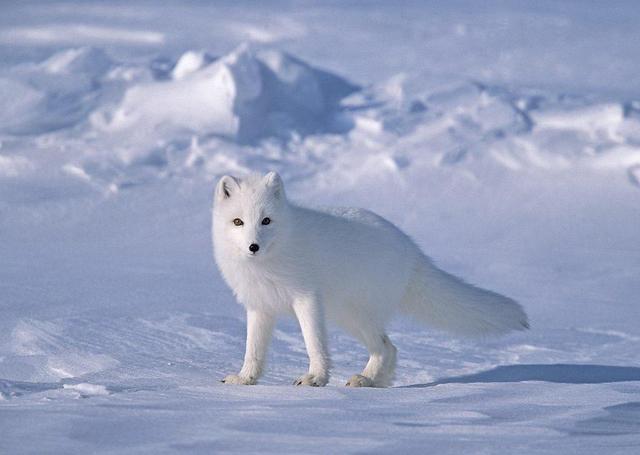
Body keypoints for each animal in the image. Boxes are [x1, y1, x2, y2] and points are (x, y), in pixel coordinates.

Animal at [212, 172, 528, 388]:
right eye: (238, 222)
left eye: (266, 220)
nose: (253, 246)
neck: (269, 262)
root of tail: (412, 250)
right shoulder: (259, 306)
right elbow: (253, 350)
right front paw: (245, 379)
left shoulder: (307, 299)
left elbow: (314, 343)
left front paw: (315, 378)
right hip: (348, 316)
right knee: (390, 348)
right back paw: (375, 381)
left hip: (354, 315)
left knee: (387, 347)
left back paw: (366, 380)